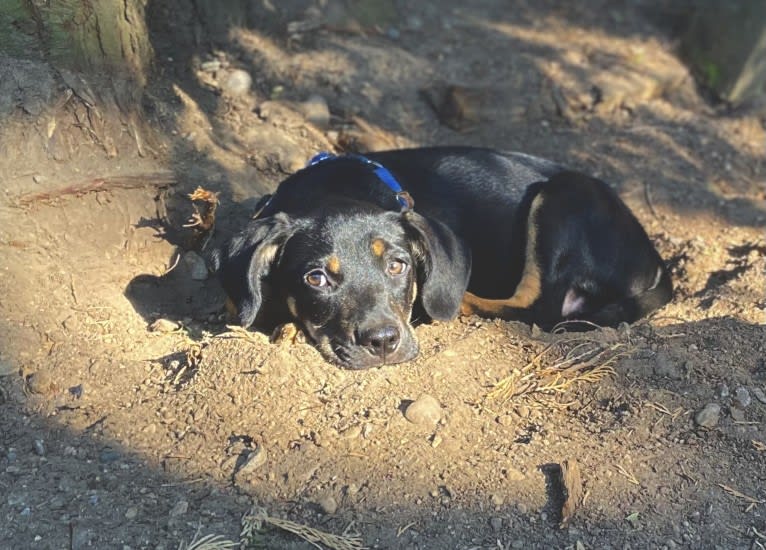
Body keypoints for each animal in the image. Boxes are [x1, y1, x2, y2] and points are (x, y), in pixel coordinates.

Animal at [210, 147, 672, 370]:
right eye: (316, 278)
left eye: (398, 266)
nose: (383, 343)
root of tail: (653, 258)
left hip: (561, 197)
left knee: (537, 308)